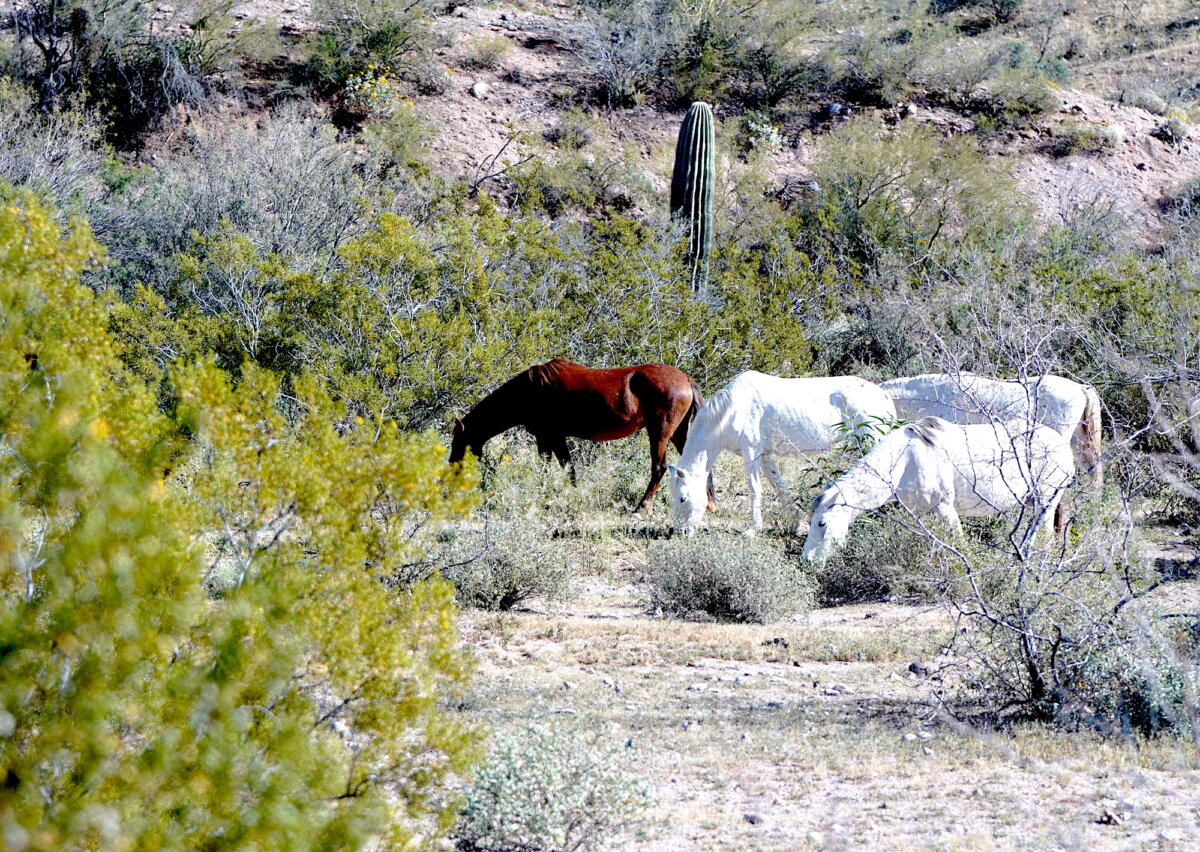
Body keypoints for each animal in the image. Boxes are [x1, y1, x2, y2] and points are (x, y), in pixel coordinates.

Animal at [449, 359, 714, 514]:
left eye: (457, 442)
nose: (452, 469)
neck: (529, 390)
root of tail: (686, 379)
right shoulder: (553, 437)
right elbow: (567, 468)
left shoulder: (549, 435)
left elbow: (556, 468)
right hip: (679, 432)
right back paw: (709, 503)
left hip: (659, 432)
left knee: (658, 468)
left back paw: (642, 507)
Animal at [668, 371, 897, 534]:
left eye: (682, 498)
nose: (680, 532)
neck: (730, 411)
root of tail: (884, 395)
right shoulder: (766, 456)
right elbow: (779, 487)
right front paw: (796, 520)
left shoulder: (751, 452)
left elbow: (755, 489)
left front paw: (753, 529)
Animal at [801, 416, 1074, 562]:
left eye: (821, 523)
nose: (807, 560)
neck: (904, 460)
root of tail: (1062, 444)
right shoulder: (921, 514)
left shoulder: (944, 508)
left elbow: (958, 543)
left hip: (1045, 502)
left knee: (1045, 535)